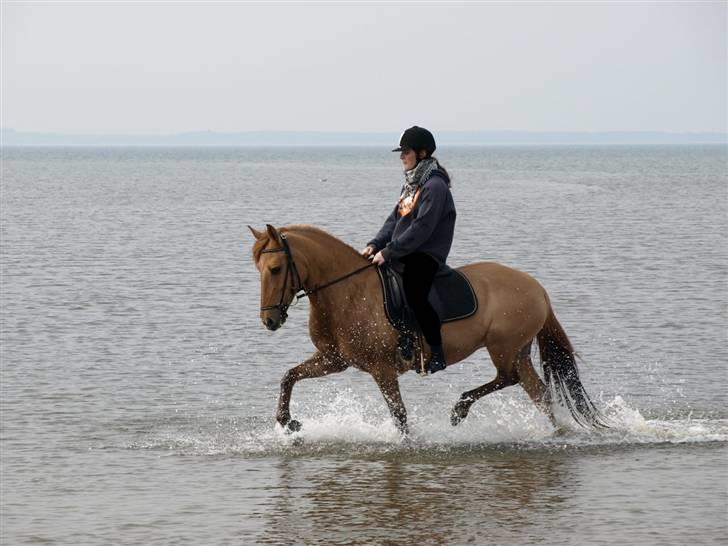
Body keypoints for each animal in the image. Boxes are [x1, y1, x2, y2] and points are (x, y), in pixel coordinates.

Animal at [247, 222, 604, 434]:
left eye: (276, 269)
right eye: (258, 268)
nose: (269, 321)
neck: (348, 292)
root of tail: (537, 288)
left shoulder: (381, 368)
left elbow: (399, 414)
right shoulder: (335, 360)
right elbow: (289, 376)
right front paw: (288, 422)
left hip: (503, 347)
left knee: (509, 378)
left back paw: (460, 408)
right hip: (518, 351)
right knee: (537, 393)